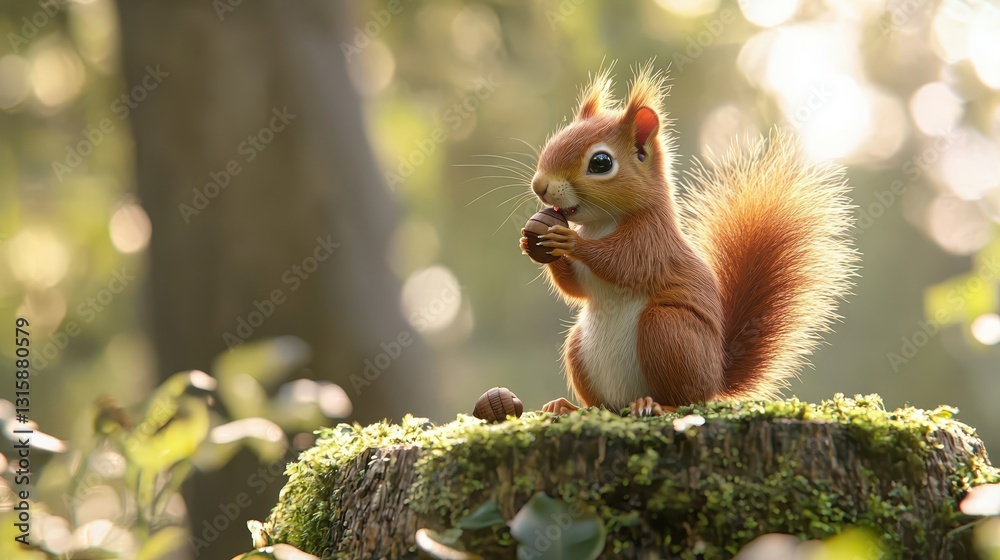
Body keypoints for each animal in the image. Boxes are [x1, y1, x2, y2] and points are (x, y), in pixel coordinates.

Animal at [518, 64, 858, 417]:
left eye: (601, 162)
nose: (540, 186)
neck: (602, 224)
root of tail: (715, 380)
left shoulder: (651, 241)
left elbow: (624, 265)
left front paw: (570, 241)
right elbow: (576, 289)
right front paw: (532, 244)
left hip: (669, 332)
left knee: (687, 400)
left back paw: (655, 405)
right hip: (580, 347)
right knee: (603, 404)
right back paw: (568, 407)